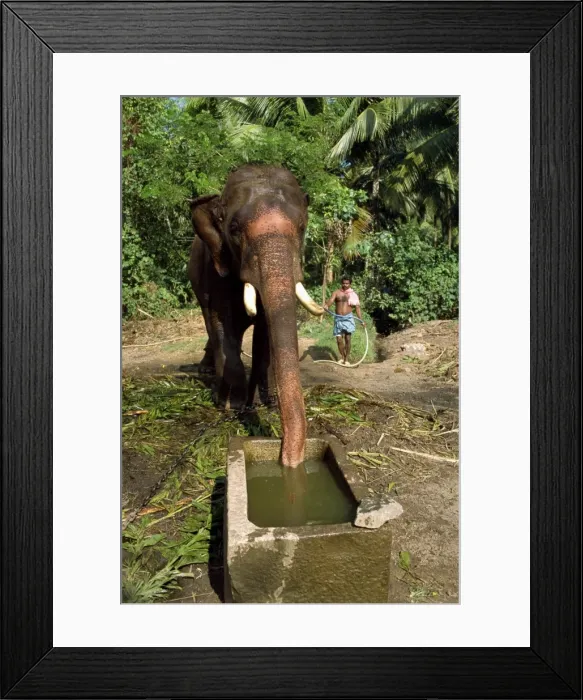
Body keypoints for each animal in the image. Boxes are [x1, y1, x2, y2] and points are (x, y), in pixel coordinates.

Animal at [187, 164, 325, 467]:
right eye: (234, 229)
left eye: (302, 227)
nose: (289, 460)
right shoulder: (216, 268)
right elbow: (221, 322)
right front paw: (232, 406)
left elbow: (264, 331)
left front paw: (262, 403)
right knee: (211, 324)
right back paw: (211, 377)